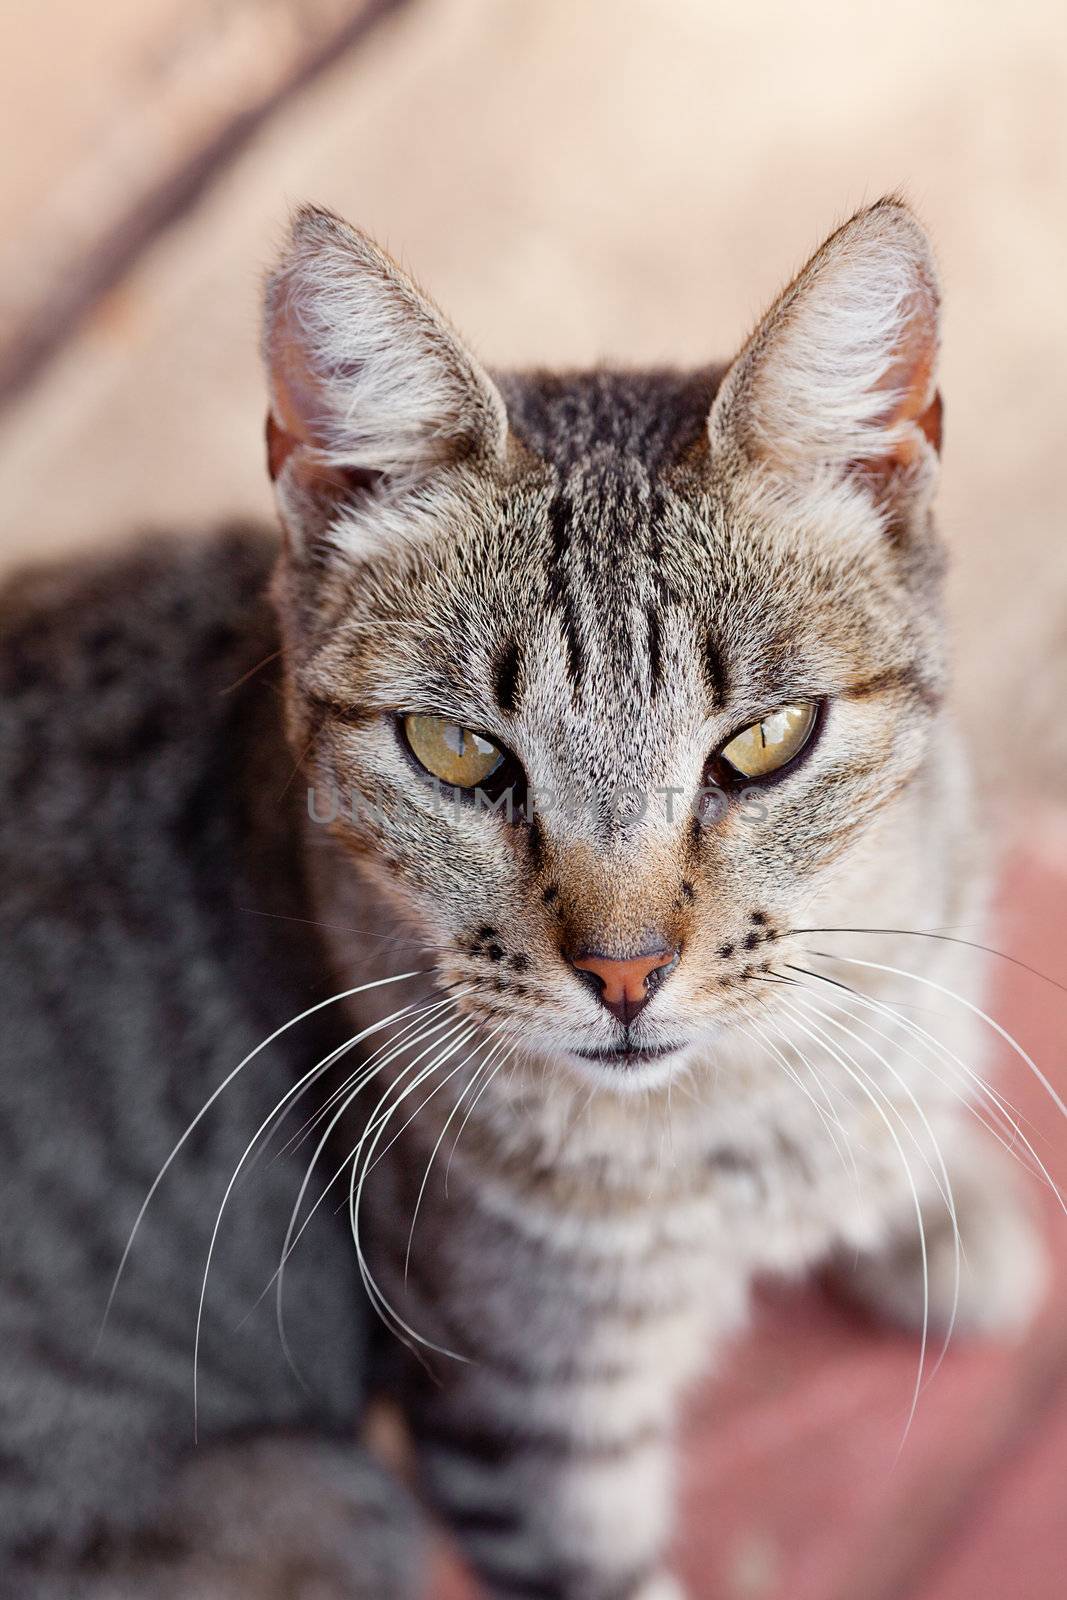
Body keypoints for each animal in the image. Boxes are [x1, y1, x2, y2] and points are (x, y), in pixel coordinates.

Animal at [0, 200, 1049, 1600]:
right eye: (454, 752)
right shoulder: (521, 1419)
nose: (624, 972)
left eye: (764, 740)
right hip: (335, 1510)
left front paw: (935, 1203)